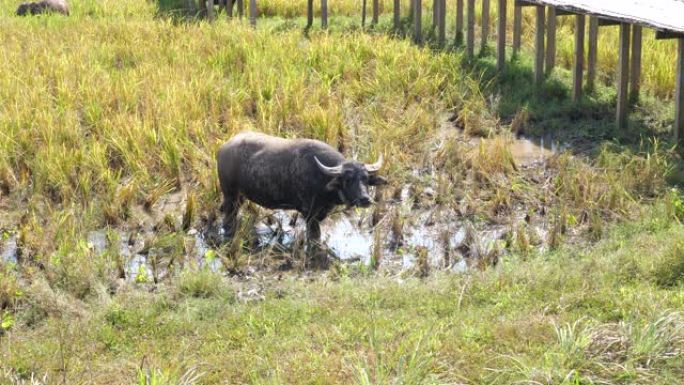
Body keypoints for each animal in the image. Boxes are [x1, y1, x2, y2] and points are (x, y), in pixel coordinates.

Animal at [216, 132, 388, 250]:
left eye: (366, 178)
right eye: (347, 180)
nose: (365, 199)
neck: (323, 179)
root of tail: (223, 149)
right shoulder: (309, 214)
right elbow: (314, 236)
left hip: (239, 197)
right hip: (230, 194)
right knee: (228, 218)